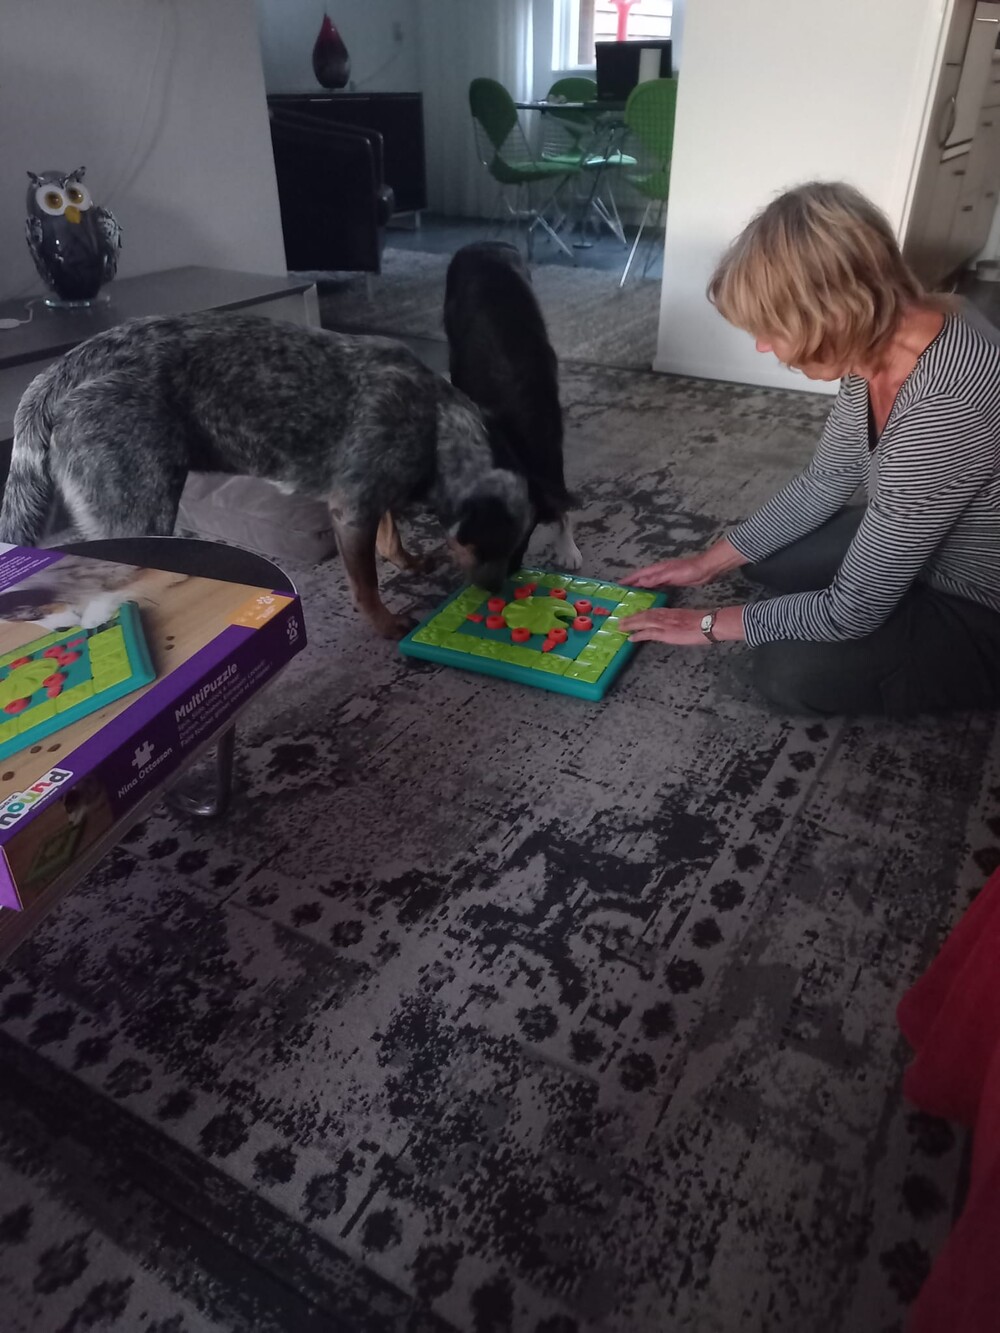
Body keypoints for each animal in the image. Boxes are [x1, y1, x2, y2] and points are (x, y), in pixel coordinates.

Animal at [0, 313, 532, 638]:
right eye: (489, 545)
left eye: (518, 551)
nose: (497, 593)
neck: (436, 424)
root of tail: (59, 372)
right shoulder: (351, 510)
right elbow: (366, 582)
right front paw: (383, 622)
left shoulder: (370, 497)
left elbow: (390, 536)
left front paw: (407, 559)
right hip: (139, 511)